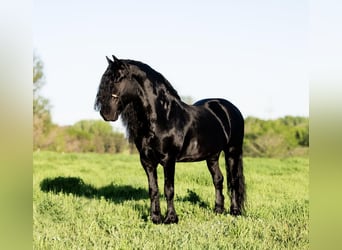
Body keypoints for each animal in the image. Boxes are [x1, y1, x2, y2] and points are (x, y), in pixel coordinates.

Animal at [95, 55, 244, 224]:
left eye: (118, 78)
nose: (106, 113)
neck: (163, 117)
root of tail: (229, 108)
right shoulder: (147, 161)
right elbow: (153, 189)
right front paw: (155, 217)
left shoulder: (169, 160)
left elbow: (169, 189)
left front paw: (171, 218)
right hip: (212, 156)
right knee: (218, 179)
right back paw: (218, 210)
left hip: (232, 151)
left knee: (234, 181)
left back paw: (235, 211)